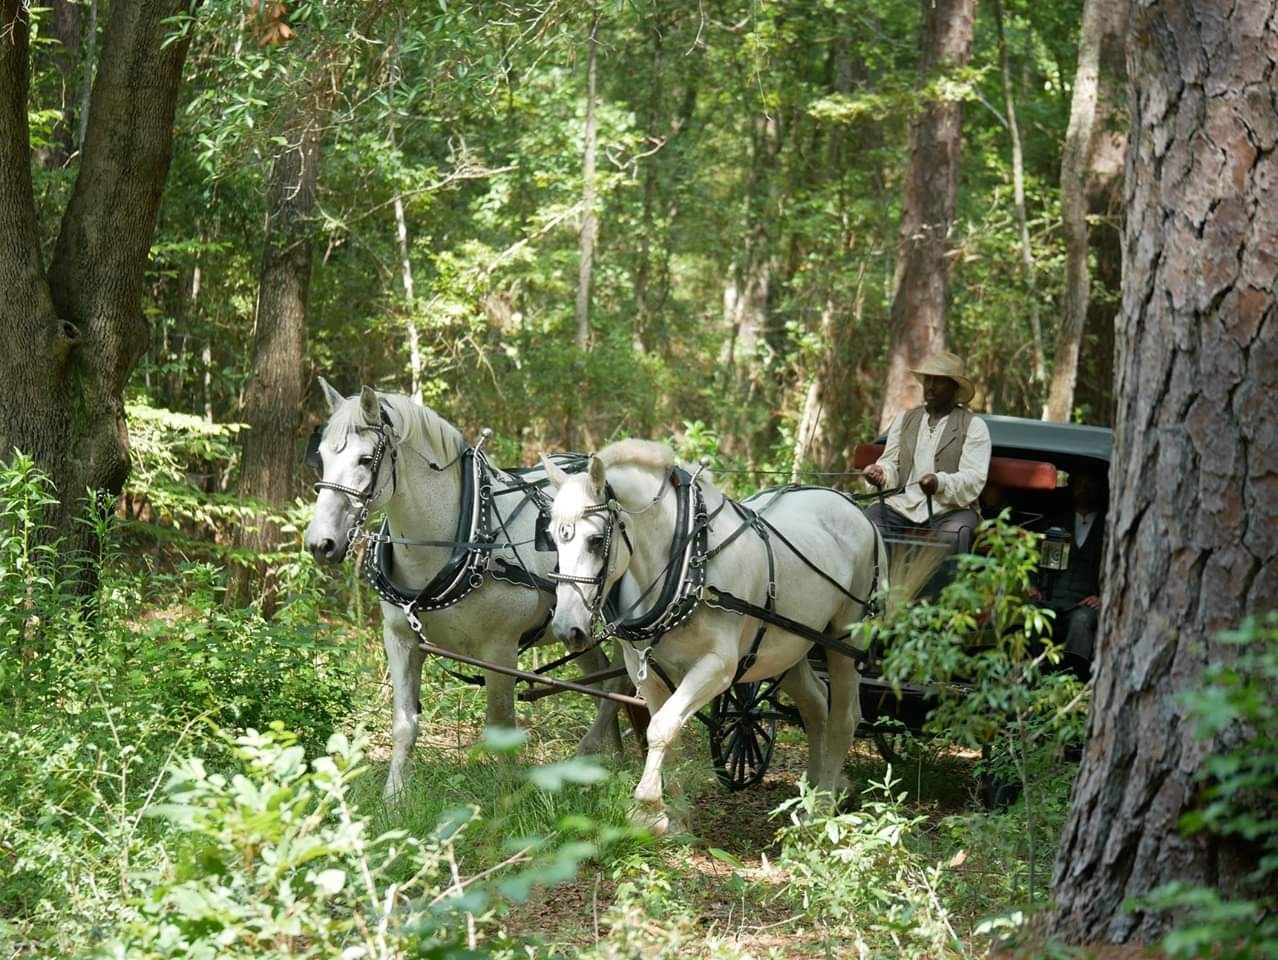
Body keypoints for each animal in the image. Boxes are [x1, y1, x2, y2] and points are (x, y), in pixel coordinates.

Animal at [303, 379, 622, 798]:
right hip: (576, 630)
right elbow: (404, 723)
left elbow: (501, 724)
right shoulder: (400, 639)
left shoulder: (500, 649)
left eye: (364, 459)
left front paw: (506, 798)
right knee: (607, 677)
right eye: (322, 457)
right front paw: (394, 797)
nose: (320, 543)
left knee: (622, 680)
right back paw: (609, 756)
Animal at [541, 439, 884, 834]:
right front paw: (675, 815)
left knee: (844, 717)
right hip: (789, 647)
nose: (567, 628)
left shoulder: (717, 668)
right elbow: (665, 731)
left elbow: (662, 728)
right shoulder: (645, 670)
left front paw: (647, 808)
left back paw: (823, 805)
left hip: (847, 641)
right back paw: (811, 793)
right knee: (816, 707)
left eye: (596, 540)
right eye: (552, 538)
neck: (690, 559)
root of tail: (852, 506)